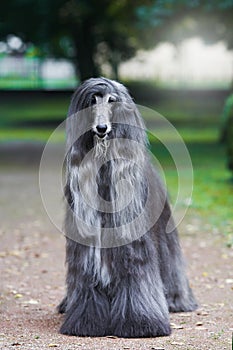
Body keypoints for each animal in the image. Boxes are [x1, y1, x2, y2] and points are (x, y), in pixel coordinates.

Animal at [57, 77, 197, 336]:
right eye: (92, 101)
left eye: (112, 100)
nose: (101, 128)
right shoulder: (85, 252)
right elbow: (86, 283)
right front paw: (86, 321)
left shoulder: (134, 247)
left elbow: (137, 277)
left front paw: (142, 323)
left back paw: (176, 300)